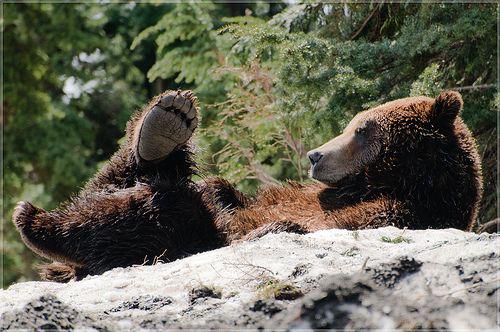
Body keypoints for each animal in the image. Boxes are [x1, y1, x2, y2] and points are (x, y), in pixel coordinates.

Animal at [12, 89, 480, 282]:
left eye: (363, 130)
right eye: (353, 123)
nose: (315, 155)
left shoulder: (392, 212)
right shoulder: (294, 195)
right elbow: (234, 197)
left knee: (159, 217)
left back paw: (37, 225)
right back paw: (164, 124)